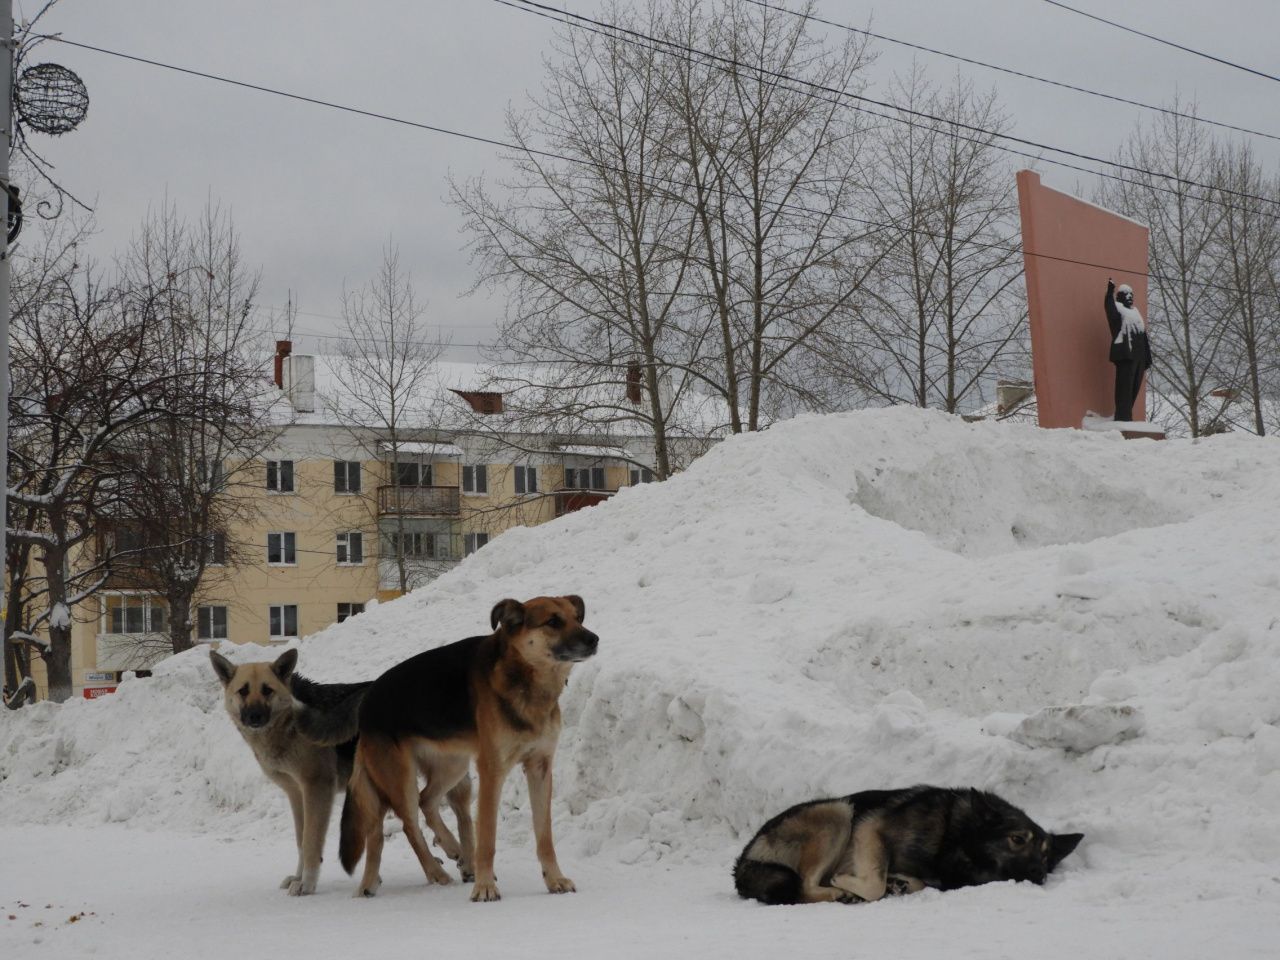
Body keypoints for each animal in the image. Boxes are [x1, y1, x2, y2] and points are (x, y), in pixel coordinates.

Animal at [209, 650, 371, 901]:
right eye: (243, 690)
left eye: (267, 690)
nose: (254, 716)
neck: (288, 722)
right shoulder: (296, 794)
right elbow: (300, 840)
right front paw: (298, 877)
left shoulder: (317, 788)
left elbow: (311, 840)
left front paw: (307, 883)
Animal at [340, 593, 599, 901]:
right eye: (553, 621)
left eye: (577, 617)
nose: (594, 639)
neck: (524, 676)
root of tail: (364, 707)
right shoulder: (492, 771)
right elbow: (486, 836)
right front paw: (485, 887)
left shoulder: (539, 767)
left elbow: (544, 835)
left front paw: (555, 879)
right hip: (401, 777)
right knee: (410, 824)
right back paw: (437, 872)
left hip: (453, 764)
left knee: (426, 800)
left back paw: (453, 849)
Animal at [737, 783, 1085, 906]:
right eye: (1017, 839)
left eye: (1046, 857)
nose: (1039, 874)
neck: (954, 837)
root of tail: (744, 860)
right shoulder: (870, 828)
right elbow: (874, 882)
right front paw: (850, 883)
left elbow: (907, 881)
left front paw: (899, 883)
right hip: (838, 813)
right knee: (805, 885)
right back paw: (839, 893)